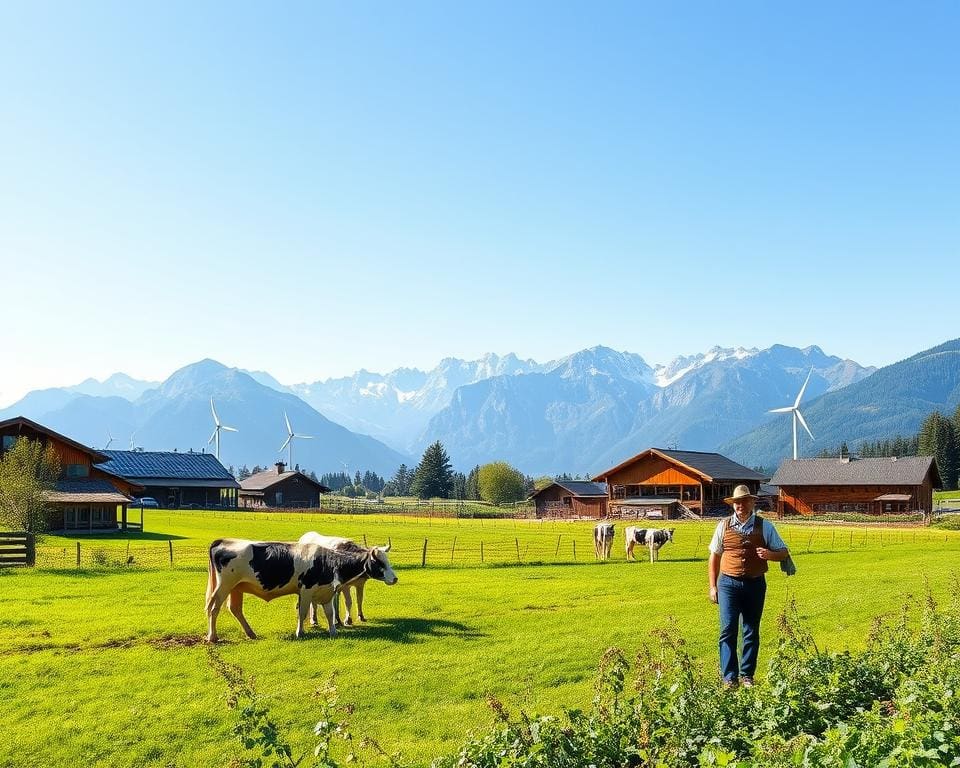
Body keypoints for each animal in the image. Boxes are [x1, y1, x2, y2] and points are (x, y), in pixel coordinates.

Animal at [204, 536, 396, 640]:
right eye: (379, 562)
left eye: (387, 560)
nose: (395, 578)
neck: (326, 561)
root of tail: (223, 541)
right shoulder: (306, 591)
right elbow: (302, 612)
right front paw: (300, 632)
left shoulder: (326, 591)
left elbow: (329, 613)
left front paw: (333, 631)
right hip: (224, 586)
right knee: (214, 608)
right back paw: (213, 636)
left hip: (236, 588)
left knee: (235, 609)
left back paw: (251, 633)